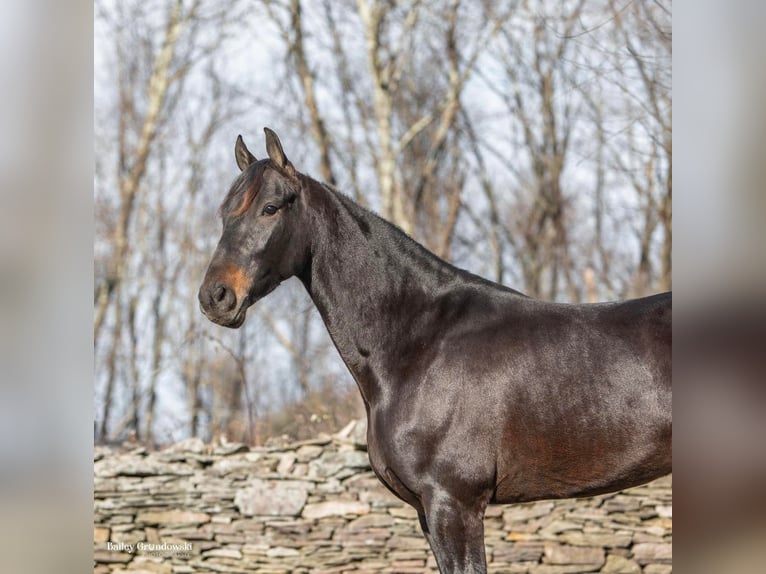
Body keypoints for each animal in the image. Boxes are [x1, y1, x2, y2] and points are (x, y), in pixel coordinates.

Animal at [201, 128, 676, 572]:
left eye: (270, 207)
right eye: (224, 214)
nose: (215, 297)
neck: (419, 340)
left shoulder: (453, 503)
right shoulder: (427, 512)